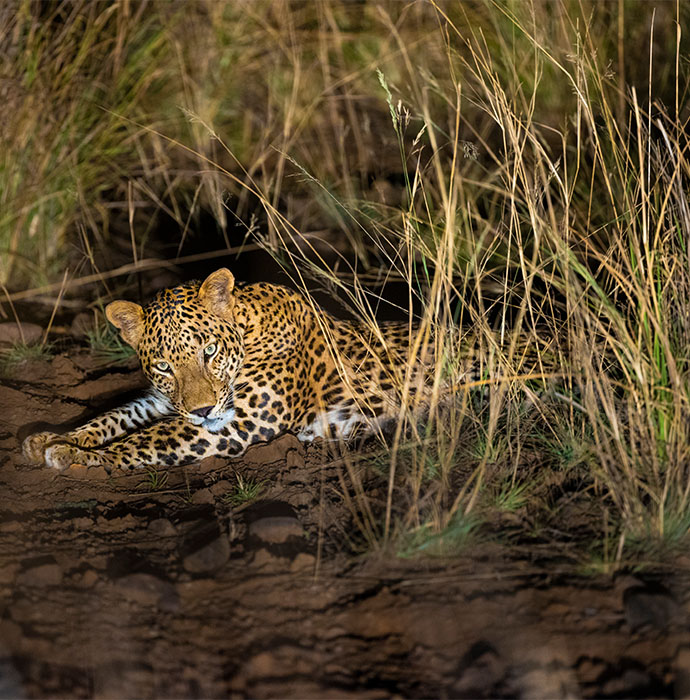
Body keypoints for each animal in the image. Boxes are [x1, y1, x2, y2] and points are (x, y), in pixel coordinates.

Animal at [25, 266, 440, 470]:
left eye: (209, 350)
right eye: (163, 366)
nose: (204, 410)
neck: (248, 327)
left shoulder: (242, 420)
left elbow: (145, 439)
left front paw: (74, 455)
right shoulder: (165, 401)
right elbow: (115, 416)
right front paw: (50, 438)